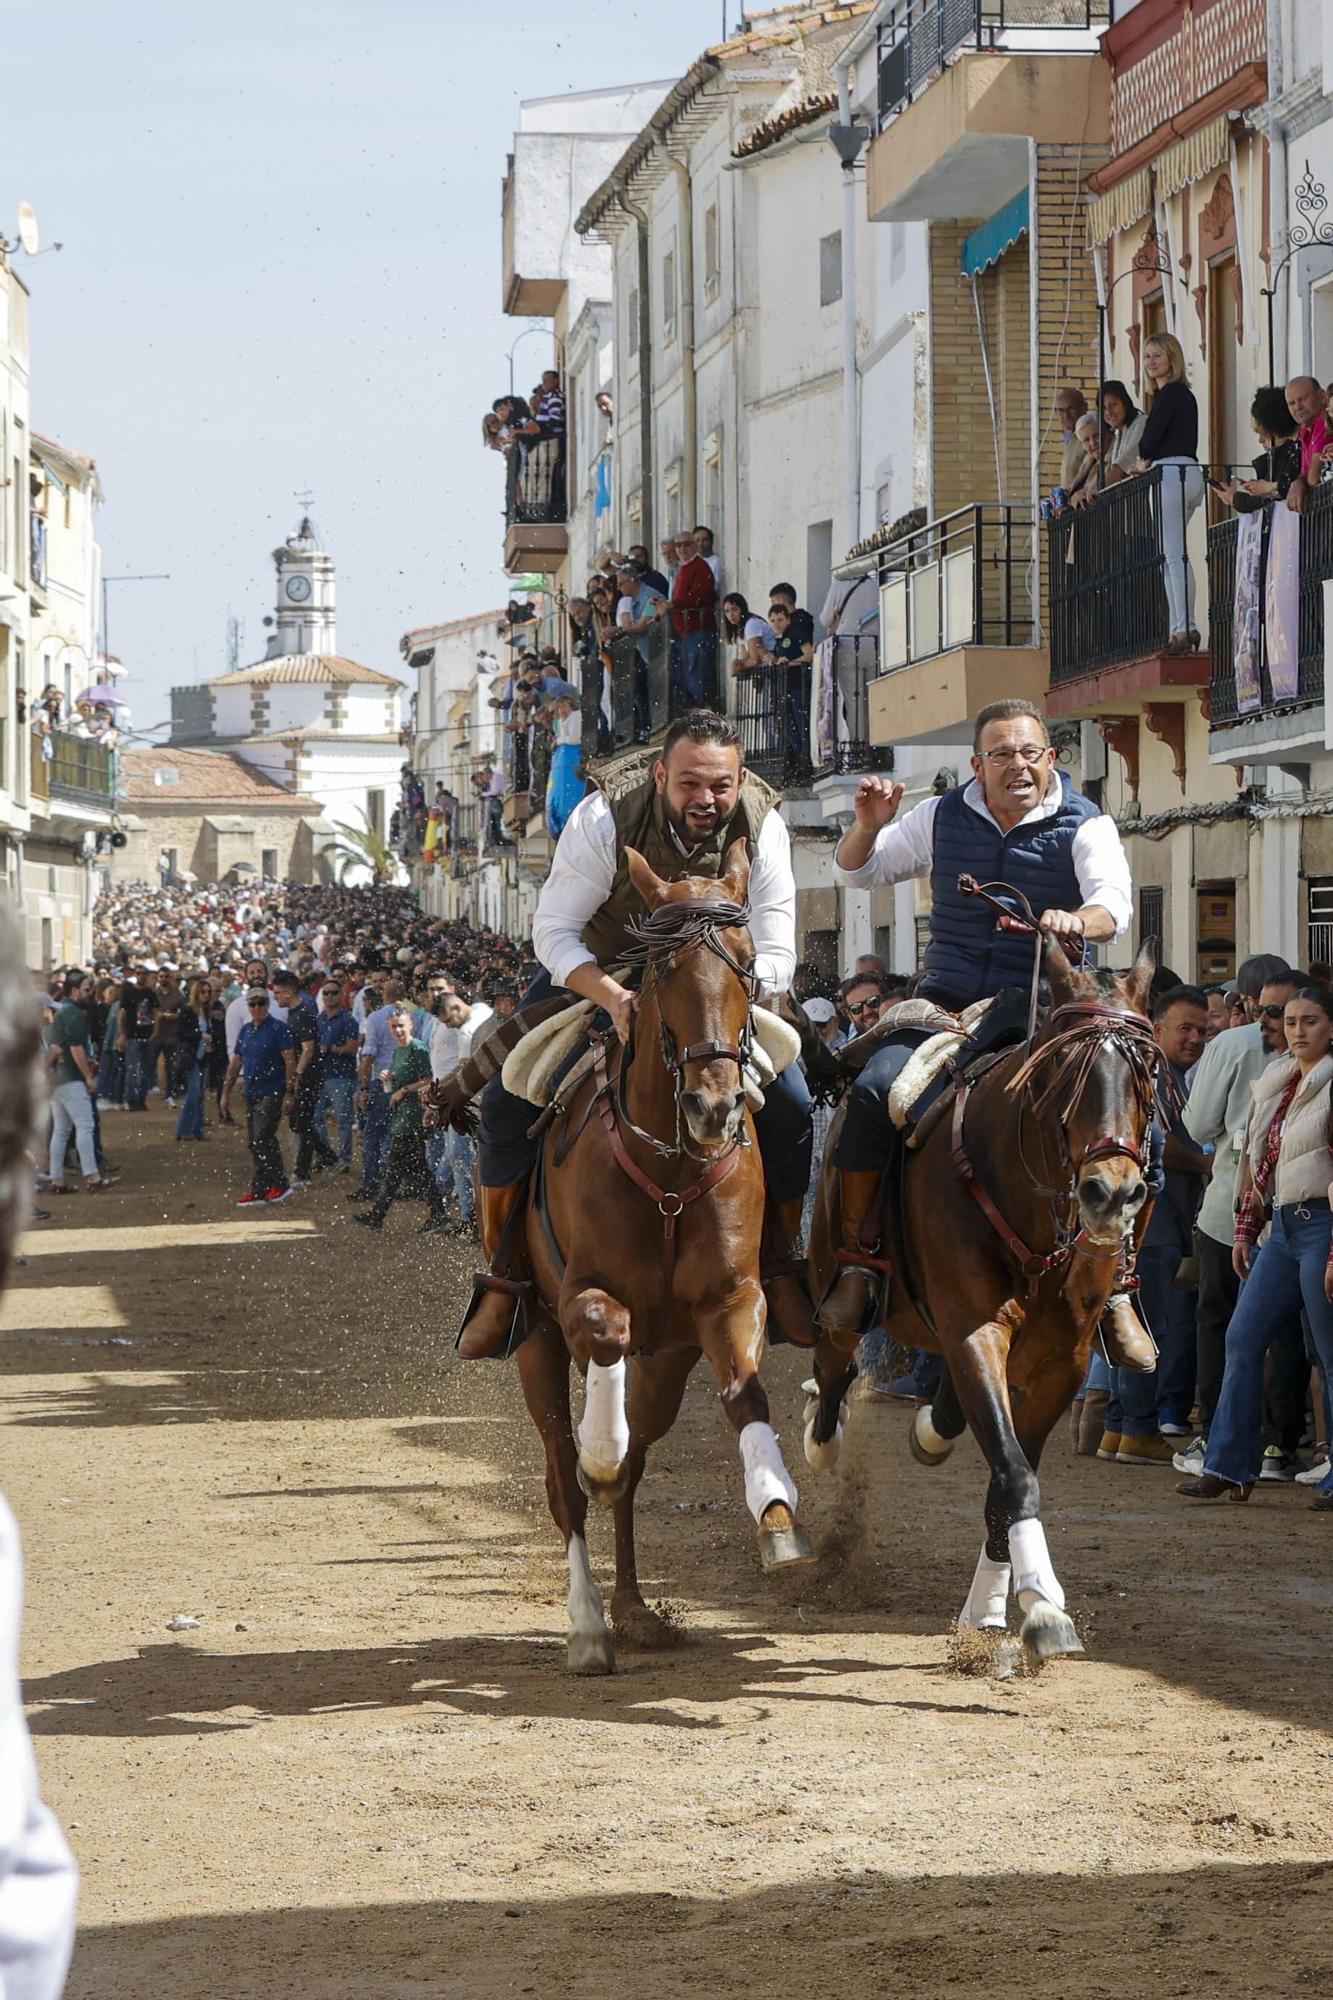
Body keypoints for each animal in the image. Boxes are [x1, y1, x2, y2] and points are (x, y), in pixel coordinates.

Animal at [516, 836, 808, 1680]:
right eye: (660, 970)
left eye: (746, 963)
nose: (713, 1106)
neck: (672, 1170)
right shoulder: (578, 1299)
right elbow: (604, 1342)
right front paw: (599, 1446)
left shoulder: (729, 1299)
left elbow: (746, 1392)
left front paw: (777, 1516)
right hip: (532, 1336)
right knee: (566, 1480)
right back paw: (588, 1623)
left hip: (669, 1358)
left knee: (636, 1469)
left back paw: (634, 1609)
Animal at [800, 936, 1152, 1656]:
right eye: (1063, 1071)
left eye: (1142, 1076)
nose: (1112, 1193)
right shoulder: (973, 1331)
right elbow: (1014, 1474)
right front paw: (1042, 1607)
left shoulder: (1061, 1365)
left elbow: (1007, 1482)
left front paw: (997, 1608)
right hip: (835, 1283)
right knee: (835, 1357)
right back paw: (822, 1432)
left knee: (943, 1409)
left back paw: (932, 1427)